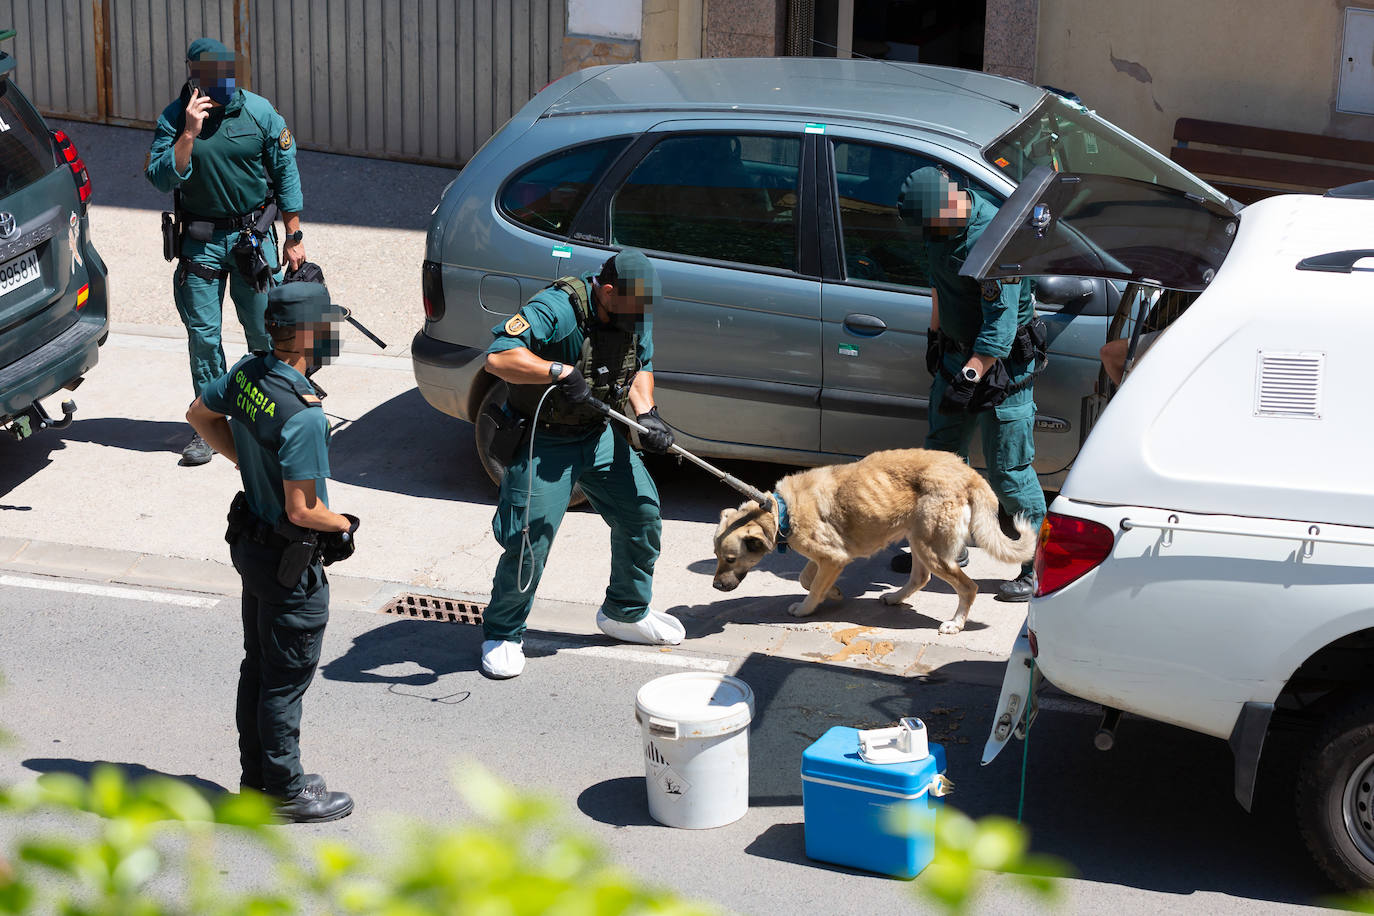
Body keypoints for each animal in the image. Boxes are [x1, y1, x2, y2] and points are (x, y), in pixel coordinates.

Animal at [714, 447, 1033, 634]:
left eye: (730, 559)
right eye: (715, 557)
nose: (716, 586)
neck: (781, 509)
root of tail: (969, 474)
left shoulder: (834, 557)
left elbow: (813, 586)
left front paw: (806, 609)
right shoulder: (828, 557)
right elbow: (807, 578)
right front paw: (834, 593)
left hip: (931, 549)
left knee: (968, 587)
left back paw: (955, 623)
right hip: (918, 541)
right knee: (920, 577)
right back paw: (895, 598)